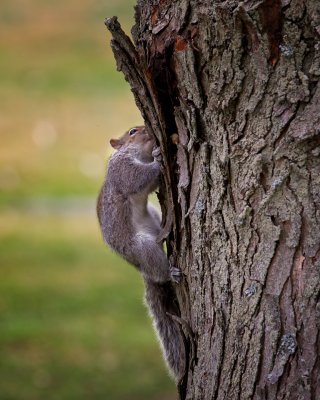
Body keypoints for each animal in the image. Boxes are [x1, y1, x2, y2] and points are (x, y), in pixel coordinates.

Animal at [96, 126, 185, 382]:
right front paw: (158, 156)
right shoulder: (122, 170)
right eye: (133, 131)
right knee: (158, 268)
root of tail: (140, 267)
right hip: (142, 247)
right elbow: (137, 178)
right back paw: (170, 272)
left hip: (153, 217)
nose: (148, 131)